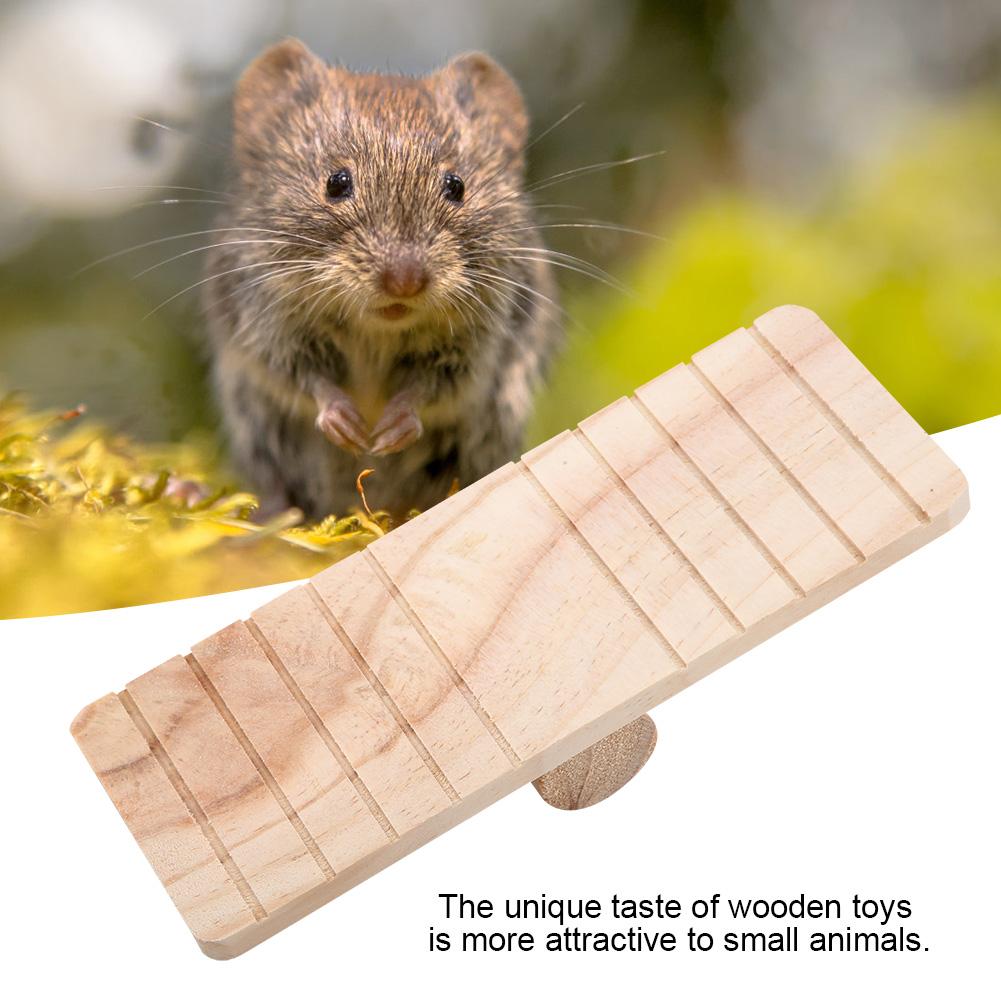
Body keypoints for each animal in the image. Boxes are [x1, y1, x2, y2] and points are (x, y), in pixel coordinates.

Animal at [202, 39, 561, 520]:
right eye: (336, 183)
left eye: (457, 186)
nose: (405, 282)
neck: (378, 328)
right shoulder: (267, 327)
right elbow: (304, 380)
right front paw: (347, 425)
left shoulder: (476, 347)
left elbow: (432, 389)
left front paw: (390, 429)